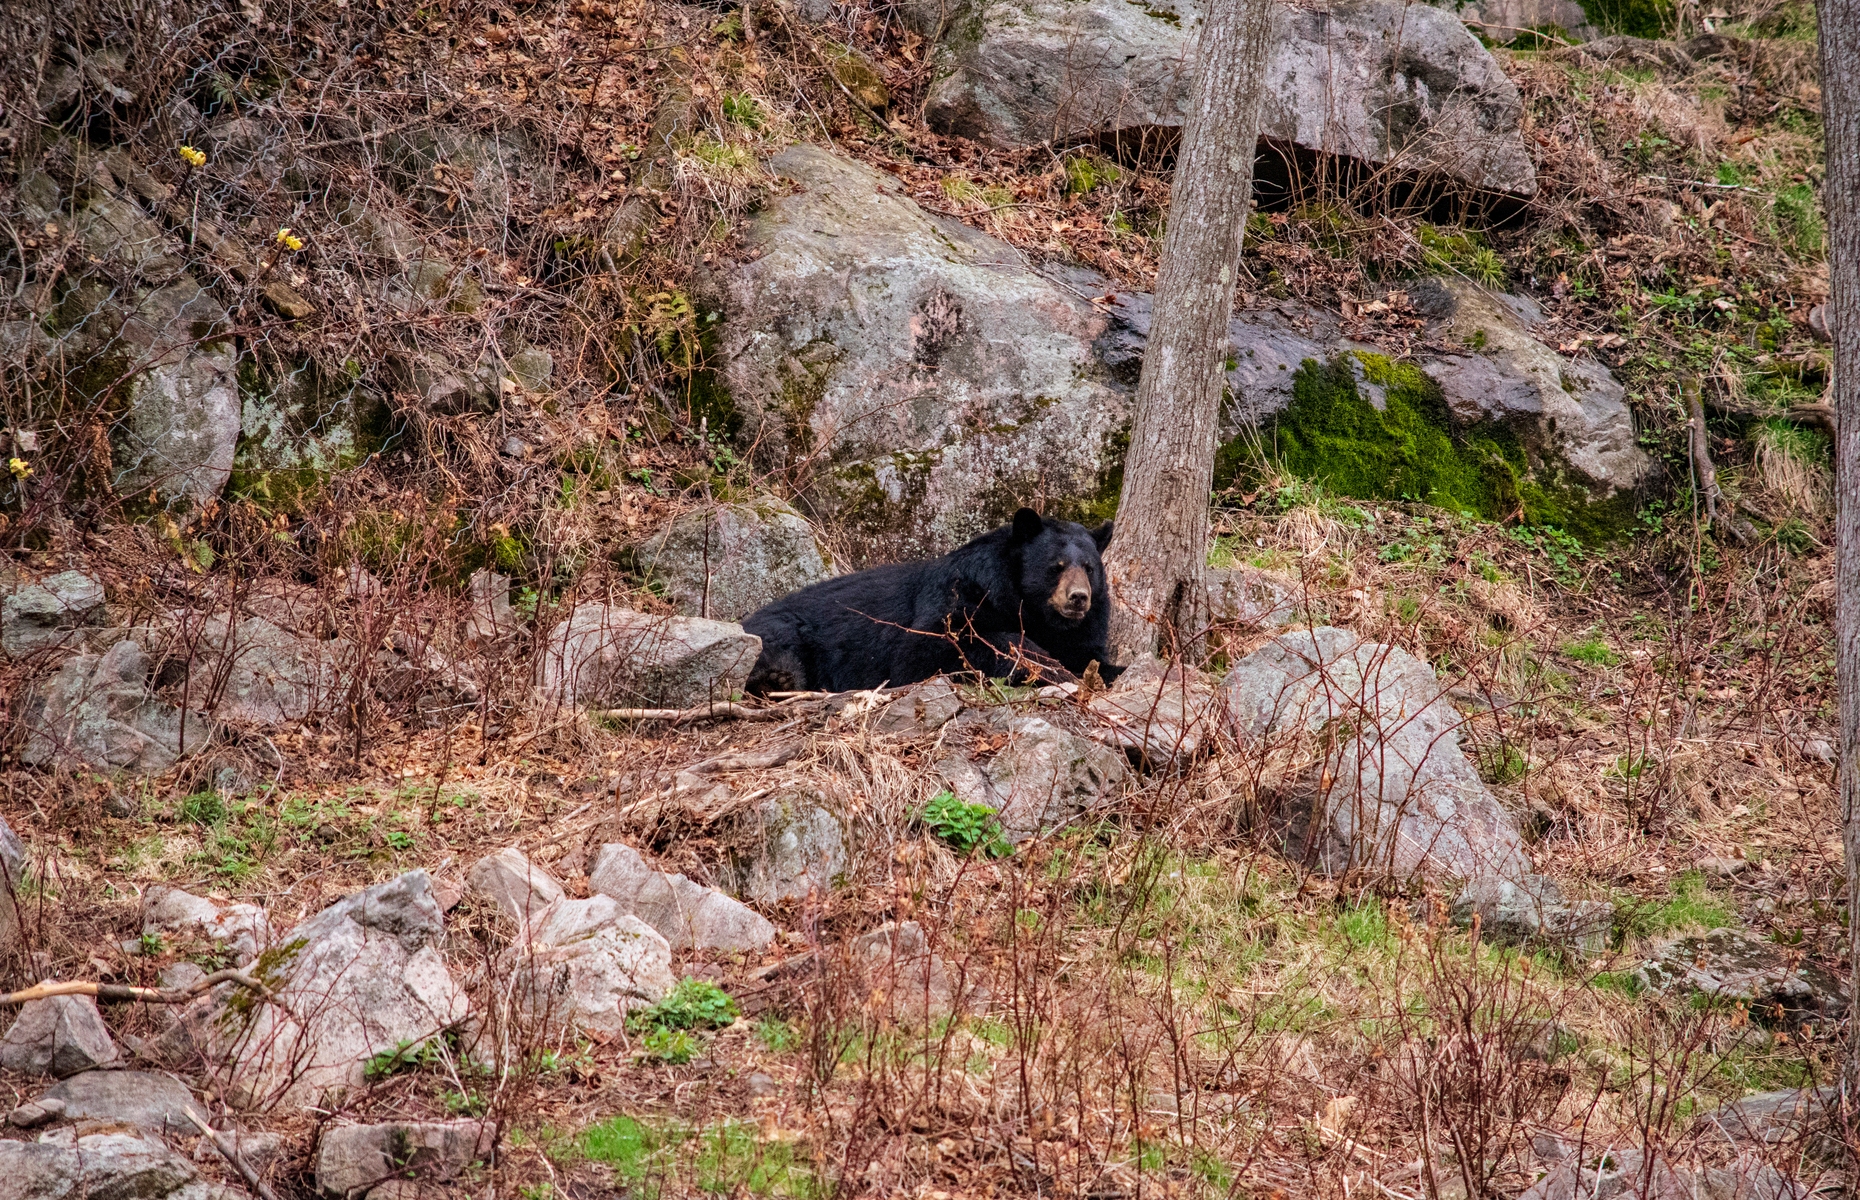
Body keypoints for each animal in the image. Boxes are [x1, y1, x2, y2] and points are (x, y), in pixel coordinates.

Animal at [740, 506, 1116, 692]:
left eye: (1089, 567)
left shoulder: (1079, 631)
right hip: (781, 628)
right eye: (1056, 566)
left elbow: (1088, 653)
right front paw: (1050, 668)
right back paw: (777, 679)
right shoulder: (961, 590)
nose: (1078, 598)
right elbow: (926, 648)